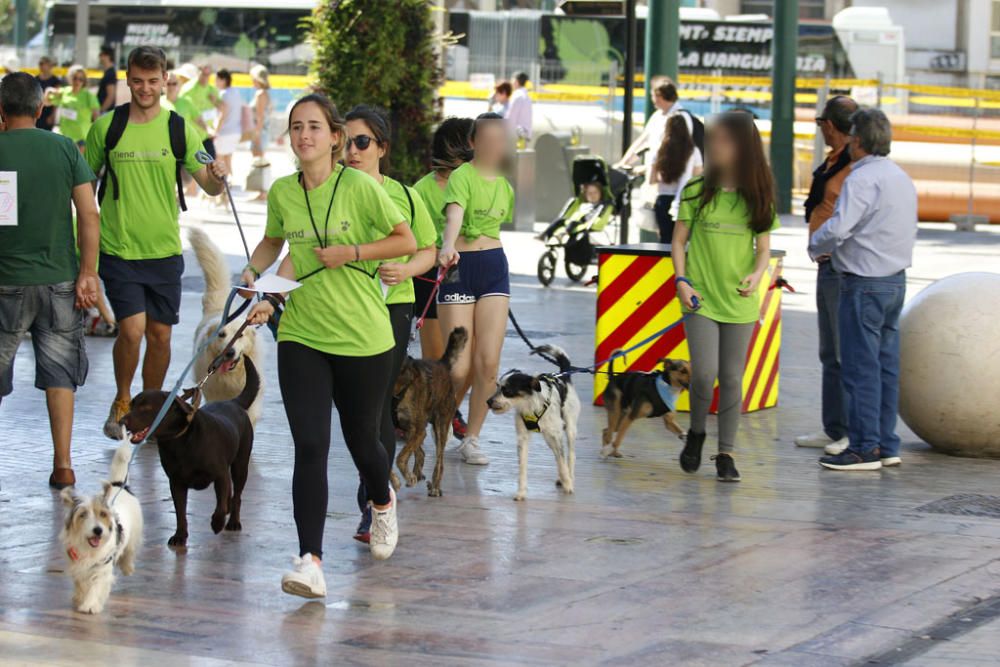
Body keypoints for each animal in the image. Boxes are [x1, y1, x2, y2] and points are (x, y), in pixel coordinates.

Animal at [60, 438, 145, 616]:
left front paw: (90, 604)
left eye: (103, 514)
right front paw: (80, 597)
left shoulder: (102, 567)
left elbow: (96, 585)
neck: (89, 548)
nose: (98, 530)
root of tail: (119, 484)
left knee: (130, 551)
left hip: (134, 535)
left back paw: (127, 567)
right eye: (83, 514)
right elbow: (81, 583)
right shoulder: (78, 564)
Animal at [122, 358, 258, 544]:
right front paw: (180, 535)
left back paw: (233, 521)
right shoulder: (176, 483)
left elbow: (221, 506)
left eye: (146, 408)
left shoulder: (220, 475)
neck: (180, 442)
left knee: (236, 495)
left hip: (240, 465)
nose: (122, 420)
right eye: (131, 405)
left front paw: (217, 522)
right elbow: (180, 512)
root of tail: (233, 402)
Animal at [188, 227, 264, 426]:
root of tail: (219, 307)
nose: (229, 352)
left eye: (240, 335)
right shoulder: (214, 394)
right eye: (221, 335)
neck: (232, 375)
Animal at [392, 326, 466, 498]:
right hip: (414, 429)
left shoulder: (418, 429)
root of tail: (442, 364)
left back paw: (435, 487)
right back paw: (417, 475)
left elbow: (400, 457)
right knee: (421, 453)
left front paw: (406, 477)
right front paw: (400, 479)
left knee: (439, 461)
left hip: (441, 424)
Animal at [488, 348, 584, 498]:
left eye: (507, 390)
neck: (529, 405)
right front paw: (521, 492)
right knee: (558, 457)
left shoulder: (557, 436)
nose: (488, 402)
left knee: (569, 456)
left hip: (569, 429)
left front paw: (568, 484)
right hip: (549, 439)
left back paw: (569, 477)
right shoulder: (523, 438)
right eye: (497, 387)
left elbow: (562, 462)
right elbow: (522, 467)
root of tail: (564, 377)